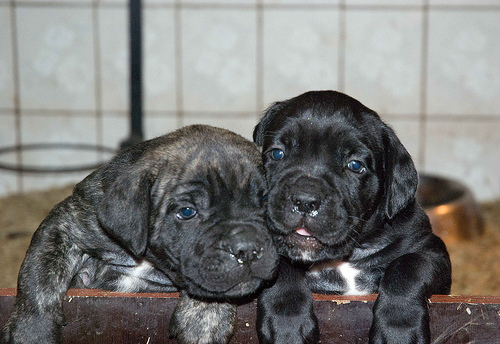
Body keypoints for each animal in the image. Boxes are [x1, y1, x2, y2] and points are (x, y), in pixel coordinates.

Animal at [1, 125, 278, 344]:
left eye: (265, 199)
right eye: (187, 212)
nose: (246, 248)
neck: (147, 258)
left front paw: (203, 320)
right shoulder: (66, 226)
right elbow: (40, 275)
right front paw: (32, 331)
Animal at [252, 90, 452, 342]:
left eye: (355, 165)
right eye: (277, 153)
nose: (305, 200)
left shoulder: (430, 251)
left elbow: (407, 267)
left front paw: (399, 329)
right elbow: (281, 268)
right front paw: (287, 324)